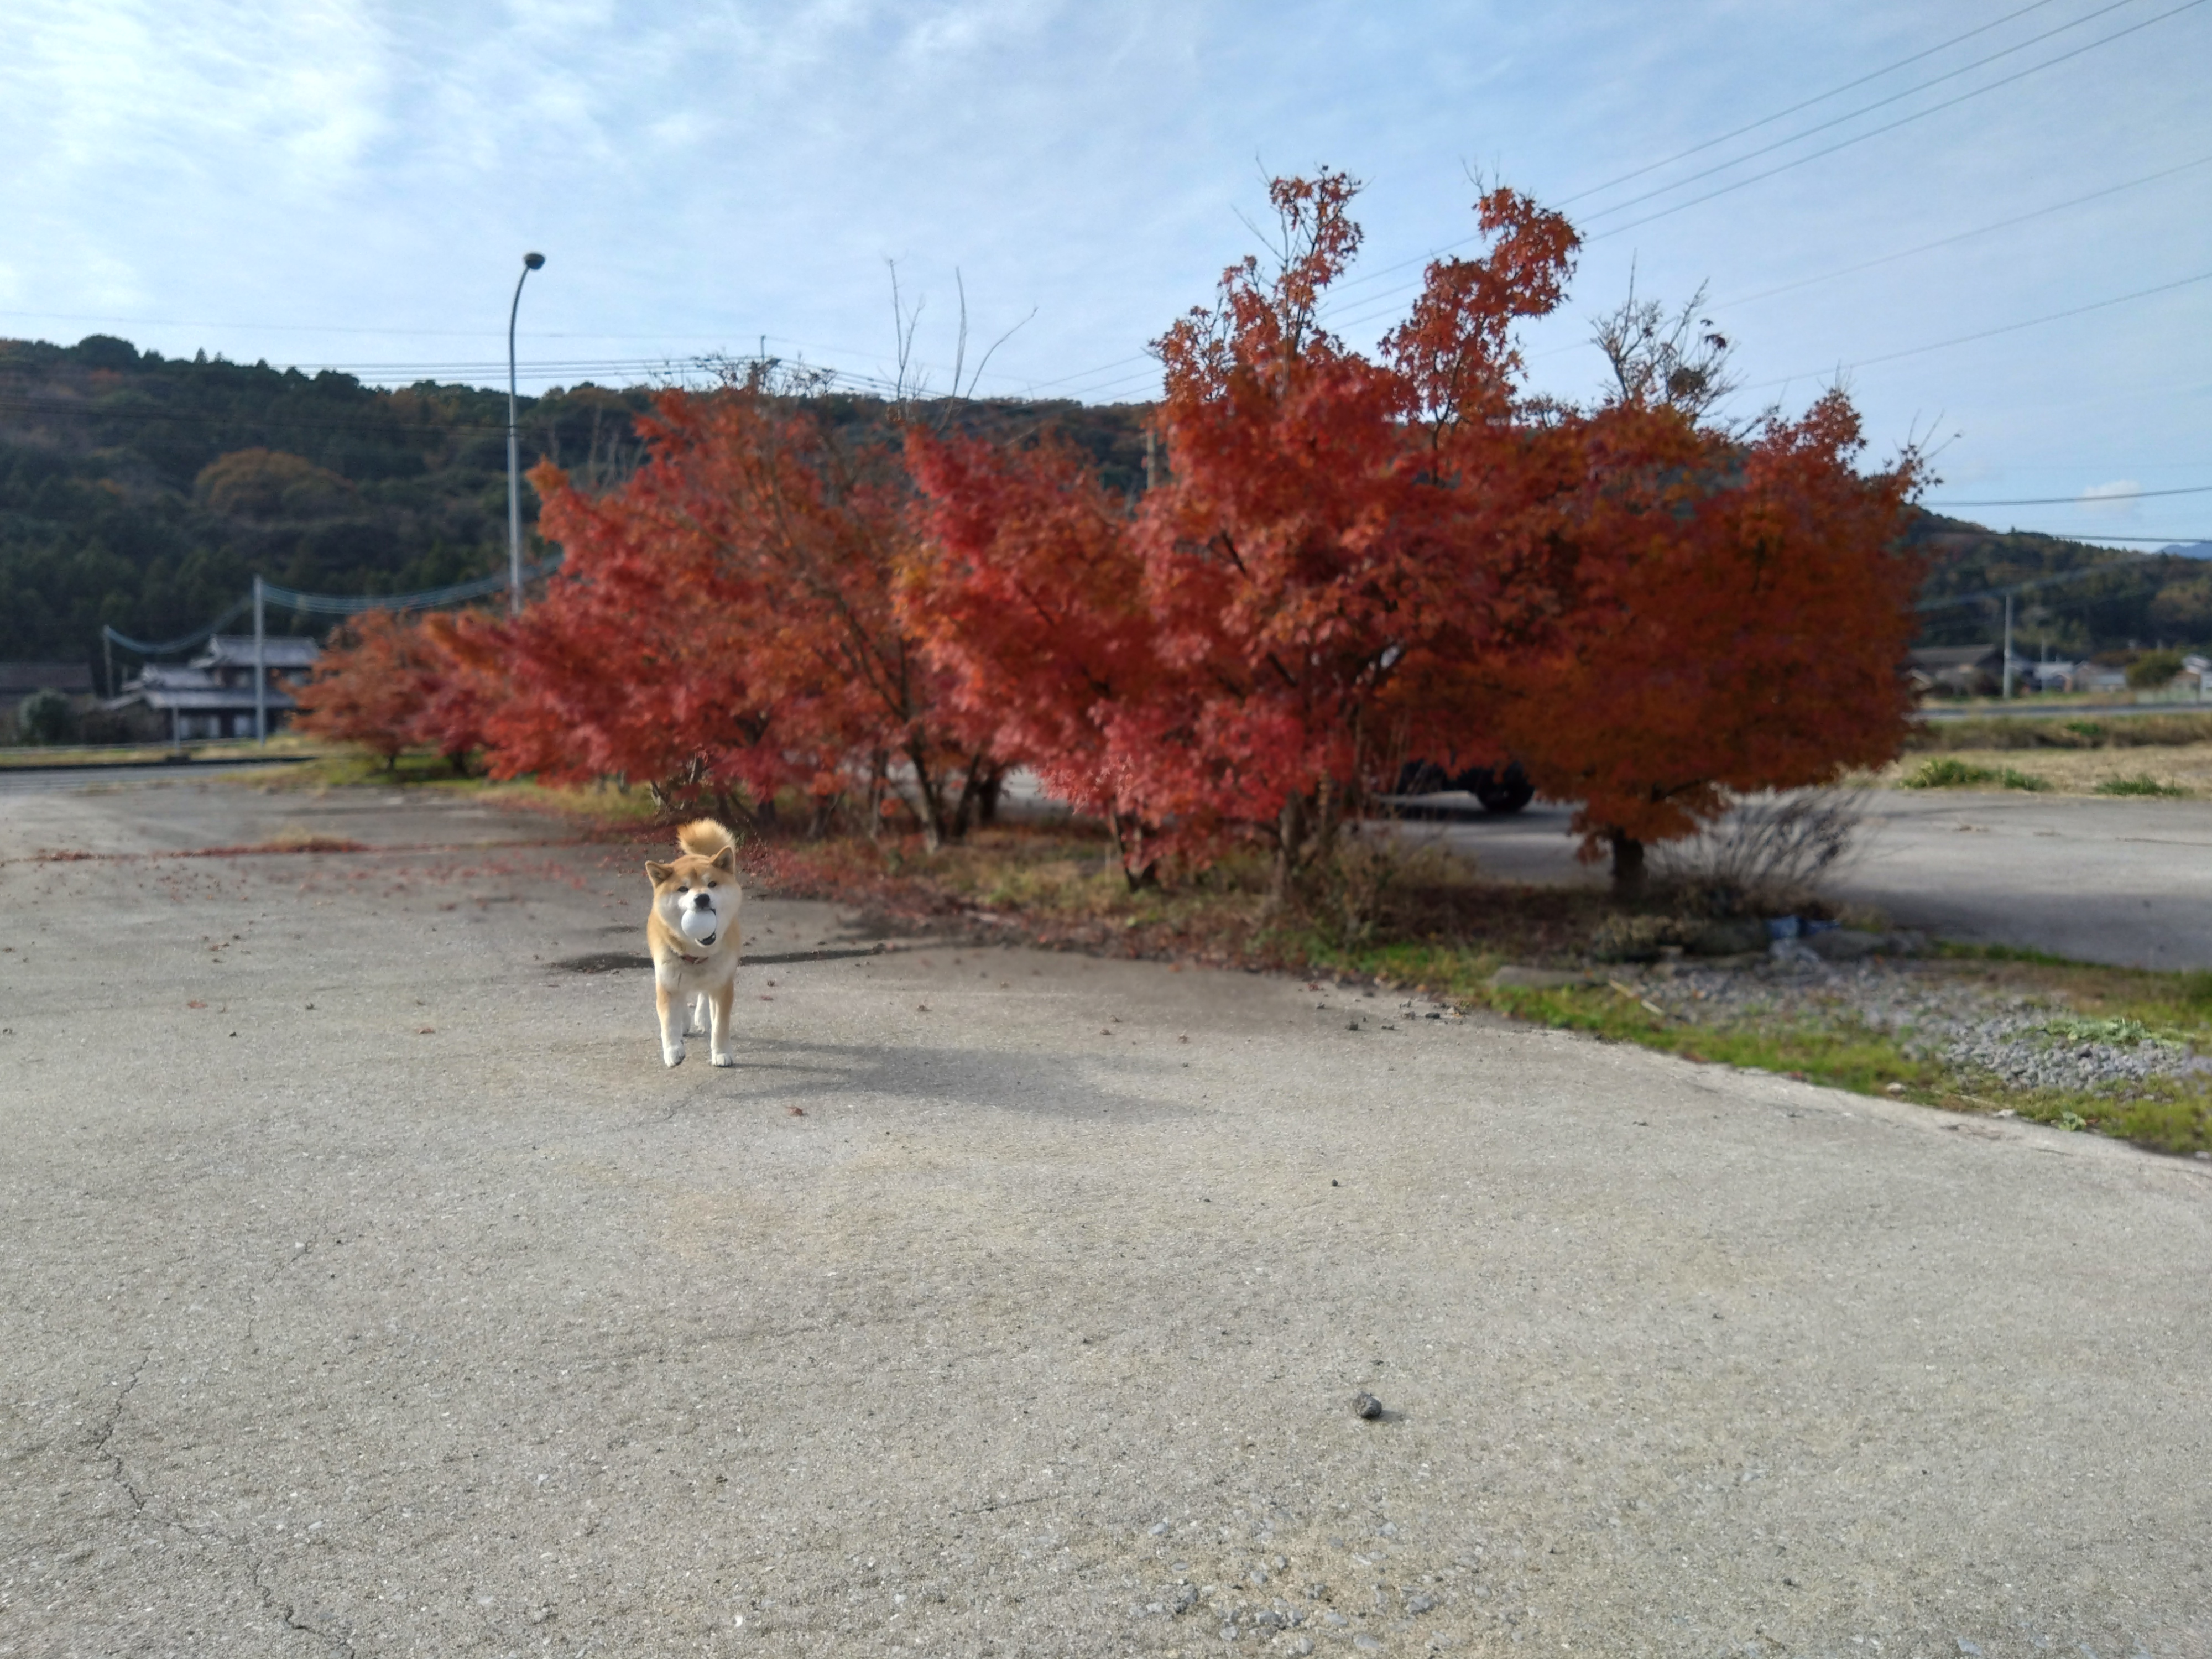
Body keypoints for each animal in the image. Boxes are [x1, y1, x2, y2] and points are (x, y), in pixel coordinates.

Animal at [641, 827, 743, 1071]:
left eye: (712, 884)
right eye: (683, 889)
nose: (702, 897)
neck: (697, 954)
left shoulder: (723, 986)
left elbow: (720, 1025)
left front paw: (721, 1053)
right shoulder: (667, 983)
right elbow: (668, 1022)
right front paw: (673, 1051)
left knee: (703, 995)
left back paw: (702, 1018)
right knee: (683, 997)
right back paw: (684, 1023)